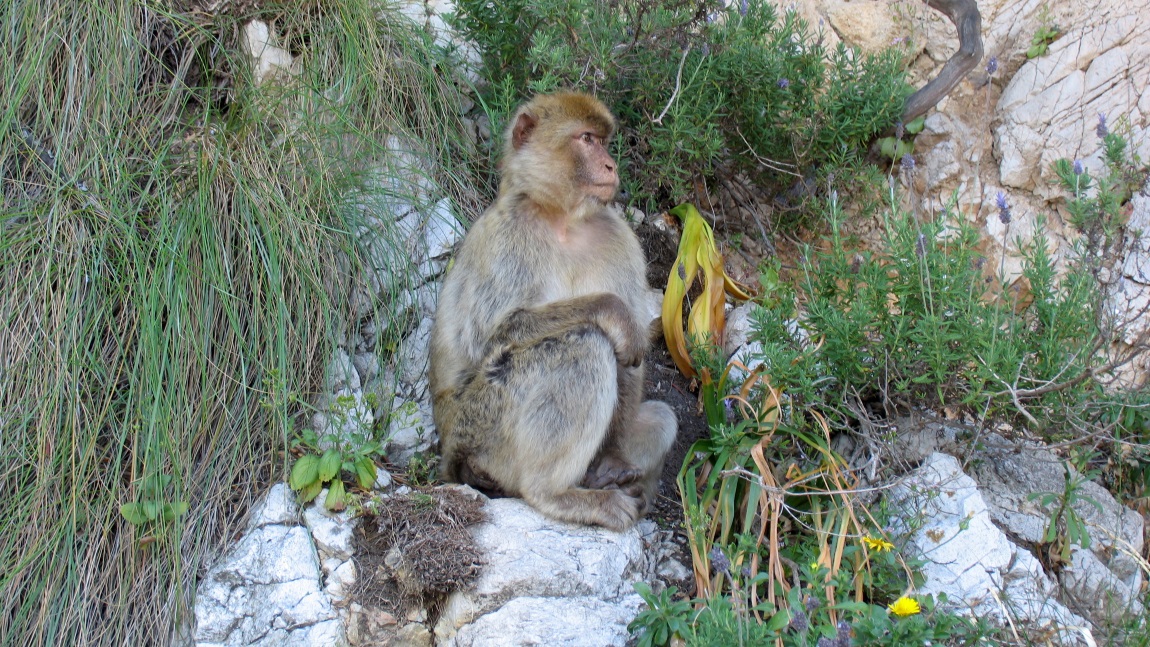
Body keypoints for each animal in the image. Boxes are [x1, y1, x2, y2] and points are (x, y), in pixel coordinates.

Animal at [429, 92, 677, 532]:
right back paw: (553, 493)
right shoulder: (508, 236)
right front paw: (612, 312)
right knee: (582, 347)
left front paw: (613, 460)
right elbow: (494, 336)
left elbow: (632, 361)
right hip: (480, 428)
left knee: (661, 416)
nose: (611, 165)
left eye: (602, 140)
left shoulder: (619, 236)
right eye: (587, 139)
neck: (563, 219)